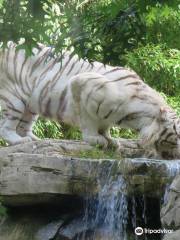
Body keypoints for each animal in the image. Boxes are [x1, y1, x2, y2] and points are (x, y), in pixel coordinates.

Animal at [0, 42, 179, 158]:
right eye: (176, 137)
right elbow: (89, 119)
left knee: (24, 124)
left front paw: (110, 140)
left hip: (31, 104)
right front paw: (95, 138)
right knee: (6, 126)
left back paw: (34, 140)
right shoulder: (82, 84)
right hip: (15, 98)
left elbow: (105, 125)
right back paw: (18, 140)